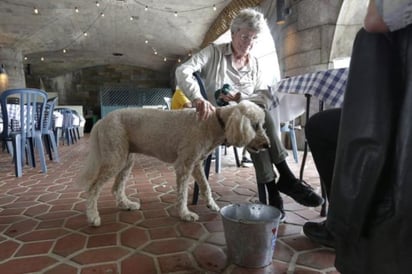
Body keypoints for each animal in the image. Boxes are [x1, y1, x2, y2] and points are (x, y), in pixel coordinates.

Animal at [78, 99, 268, 226]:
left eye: (262, 124)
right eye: (255, 125)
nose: (268, 145)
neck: (214, 121)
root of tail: (102, 121)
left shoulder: (196, 164)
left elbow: (206, 186)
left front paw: (212, 205)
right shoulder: (184, 165)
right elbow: (182, 194)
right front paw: (185, 214)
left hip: (126, 160)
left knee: (116, 187)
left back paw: (126, 205)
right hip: (114, 159)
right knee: (93, 188)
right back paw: (93, 217)